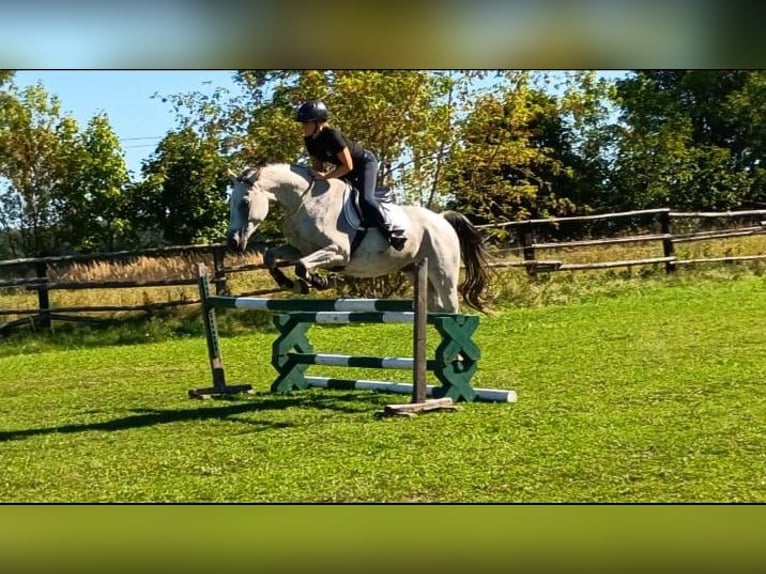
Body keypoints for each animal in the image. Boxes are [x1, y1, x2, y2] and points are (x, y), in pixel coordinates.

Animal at [226, 163, 490, 313]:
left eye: (245, 202)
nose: (233, 242)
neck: (305, 201)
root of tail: (441, 219)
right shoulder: (300, 248)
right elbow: (272, 257)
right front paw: (289, 283)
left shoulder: (338, 251)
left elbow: (301, 266)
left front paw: (318, 281)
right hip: (415, 272)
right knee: (436, 308)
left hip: (443, 271)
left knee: (451, 308)